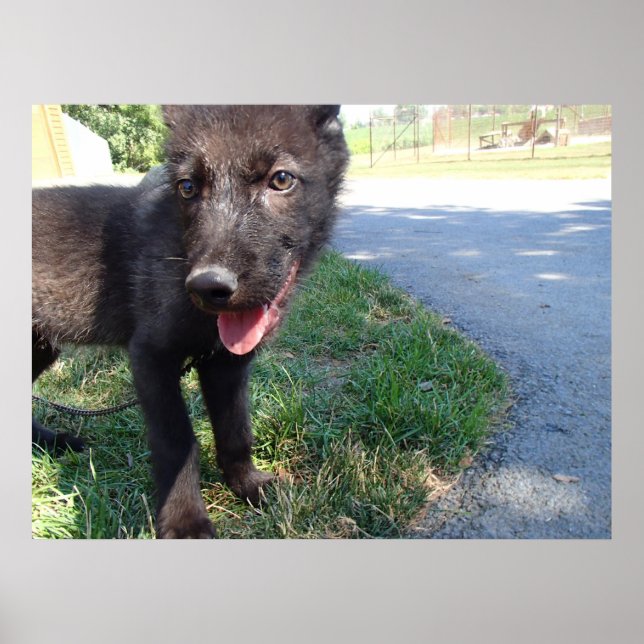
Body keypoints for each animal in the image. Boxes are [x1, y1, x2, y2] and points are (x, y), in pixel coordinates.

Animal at [32, 105, 349, 538]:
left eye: (281, 179)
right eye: (186, 187)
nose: (208, 286)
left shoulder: (226, 364)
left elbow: (236, 430)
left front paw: (246, 484)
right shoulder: (150, 355)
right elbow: (176, 441)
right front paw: (184, 521)